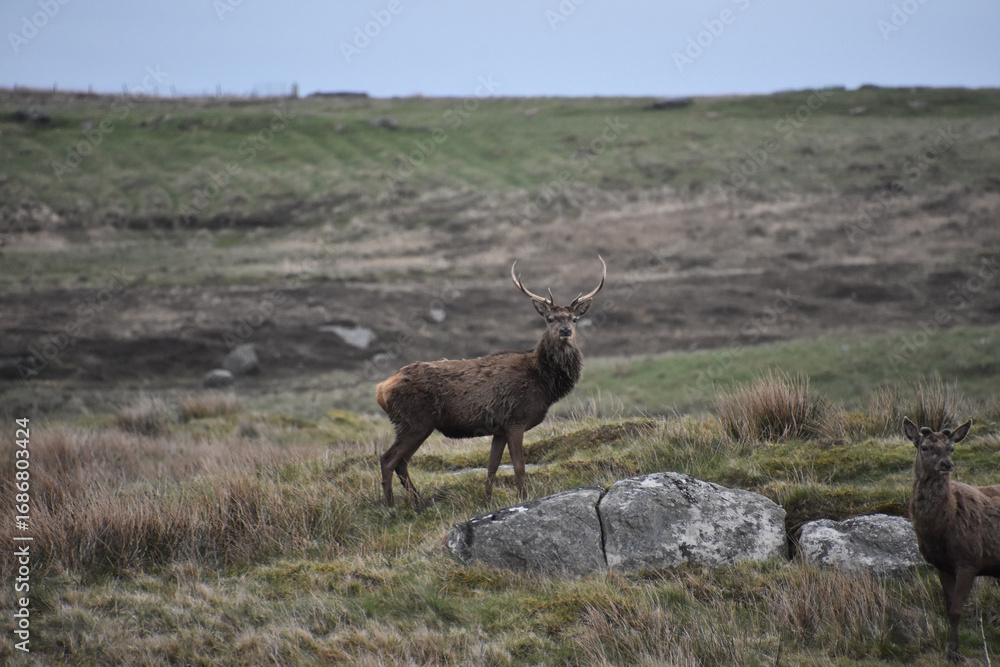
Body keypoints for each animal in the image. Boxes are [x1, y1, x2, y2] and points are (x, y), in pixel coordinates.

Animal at [376, 256, 606, 507]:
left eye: (574, 319)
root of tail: (381, 389)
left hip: (415, 425)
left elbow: (492, 467)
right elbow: (519, 466)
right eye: (550, 318)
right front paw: (524, 498)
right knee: (388, 459)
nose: (565, 331)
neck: (544, 384)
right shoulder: (515, 420)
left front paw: (486, 500)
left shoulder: (499, 428)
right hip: (414, 421)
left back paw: (418, 502)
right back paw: (390, 505)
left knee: (401, 462)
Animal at [903, 416, 1000, 663]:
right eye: (924, 447)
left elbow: (957, 611)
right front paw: (951, 651)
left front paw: (956, 654)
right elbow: (948, 609)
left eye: (951, 448)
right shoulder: (942, 565)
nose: (946, 464)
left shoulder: (969, 560)